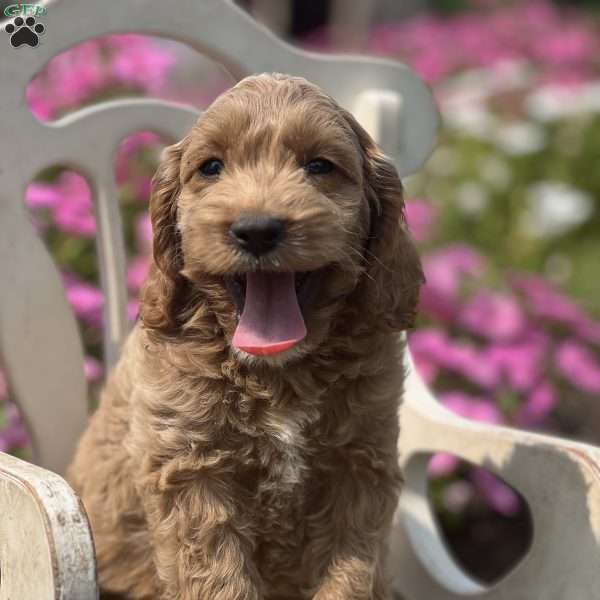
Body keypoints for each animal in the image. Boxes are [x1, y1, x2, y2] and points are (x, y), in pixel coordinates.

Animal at [68, 71, 424, 600]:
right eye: (211, 167)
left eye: (320, 166)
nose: (256, 230)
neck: (278, 372)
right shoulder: (192, 470)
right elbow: (218, 575)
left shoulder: (359, 466)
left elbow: (350, 571)